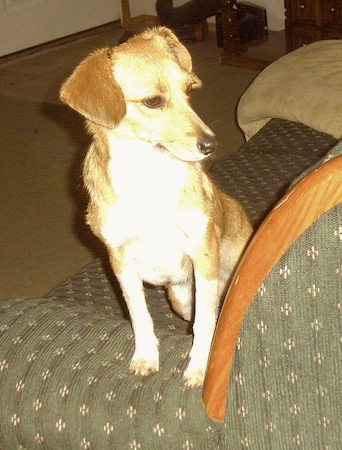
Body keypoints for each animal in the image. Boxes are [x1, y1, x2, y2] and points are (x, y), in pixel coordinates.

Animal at [59, 27, 251, 386]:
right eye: (152, 101)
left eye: (189, 90)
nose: (211, 144)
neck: (148, 179)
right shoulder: (120, 262)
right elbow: (139, 315)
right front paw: (146, 356)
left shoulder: (203, 254)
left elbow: (205, 323)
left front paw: (200, 367)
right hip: (178, 296)